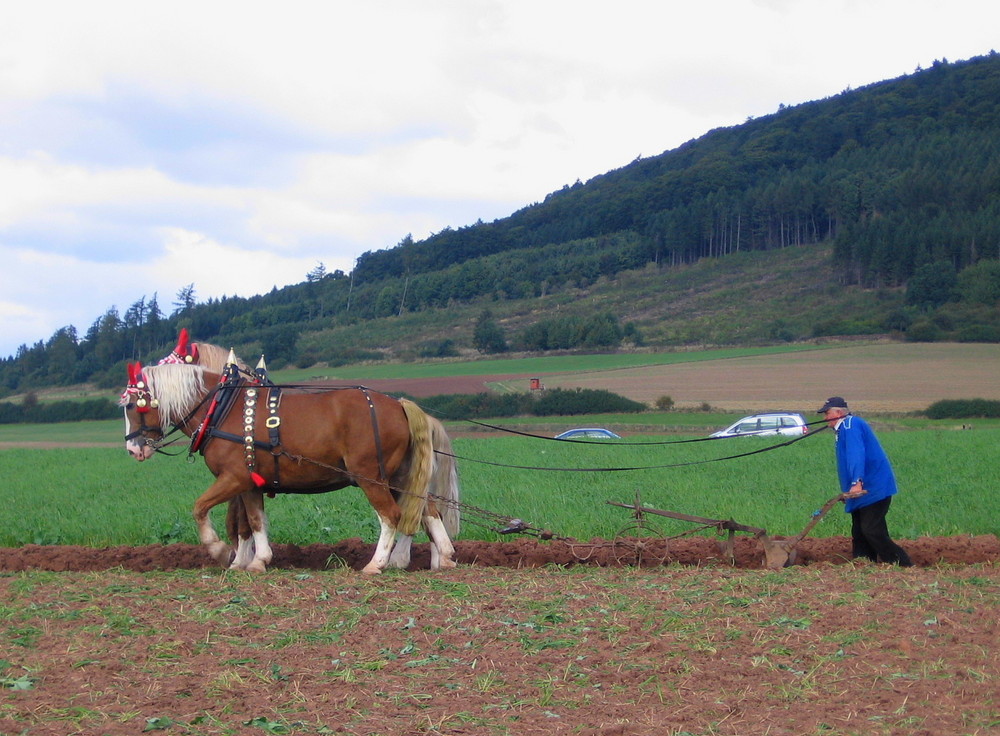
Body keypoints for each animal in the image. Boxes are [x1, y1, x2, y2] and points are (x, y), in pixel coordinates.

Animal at [120, 362, 458, 576]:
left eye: (130, 404)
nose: (133, 449)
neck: (222, 408)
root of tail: (399, 405)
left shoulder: (234, 479)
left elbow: (200, 508)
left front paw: (220, 551)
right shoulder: (248, 483)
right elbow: (252, 522)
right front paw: (254, 562)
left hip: (372, 477)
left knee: (392, 515)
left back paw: (377, 564)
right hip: (402, 475)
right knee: (427, 511)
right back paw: (442, 557)